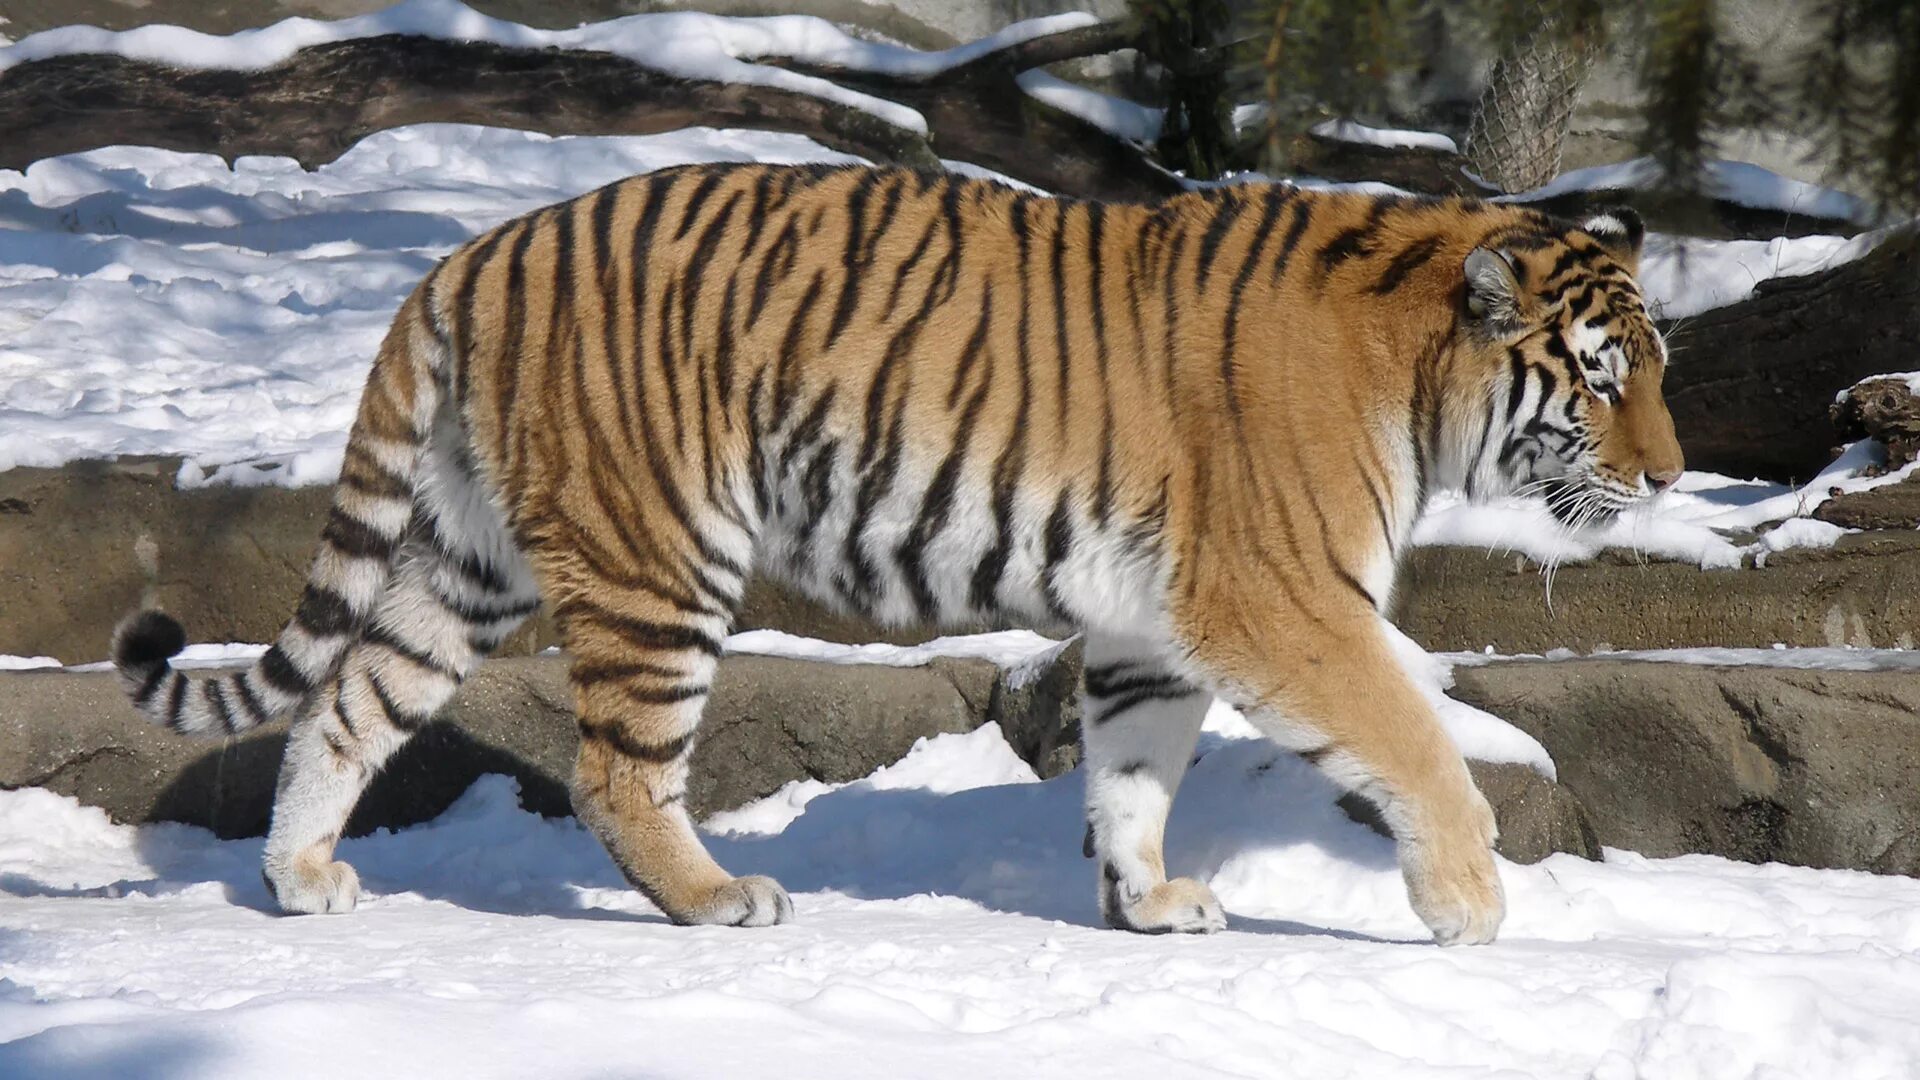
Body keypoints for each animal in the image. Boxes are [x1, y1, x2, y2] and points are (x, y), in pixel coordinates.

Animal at [116, 161, 1681, 941]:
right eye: (1606, 380)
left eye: (1655, 373)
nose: (1671, 474)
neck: (1419, 371)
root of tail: (478, 248)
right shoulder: (1284, 596)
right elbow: (1415, 740)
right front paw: (1472, 904)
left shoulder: (1150, 623)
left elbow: (1132, 772)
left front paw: (1146, 902)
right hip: (662, 550)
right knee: (615, 769)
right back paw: (717, 900)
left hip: (471, 557)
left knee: (346, 701)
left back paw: (304, 880)